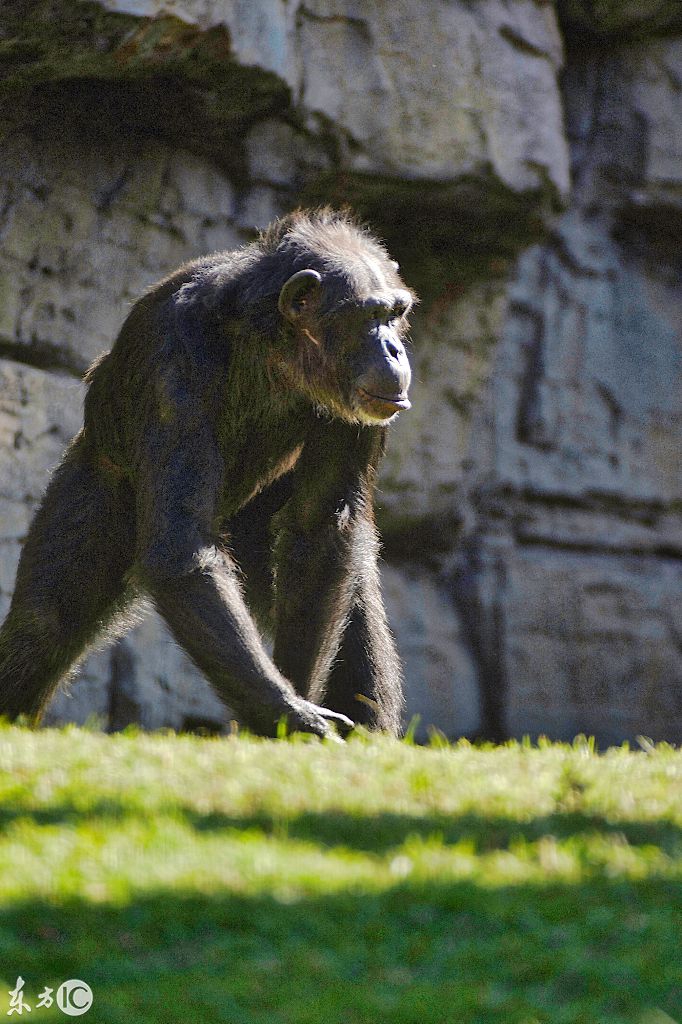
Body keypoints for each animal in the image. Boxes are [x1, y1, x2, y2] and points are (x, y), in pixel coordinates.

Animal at [0, 207, 413, 737]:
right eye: (369, 316)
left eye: (394, 314)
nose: (394, 349)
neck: (272, 343)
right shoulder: (172, 360)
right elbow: (181, 549)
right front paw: (290, 712)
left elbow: (320, 529)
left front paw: (295, 707)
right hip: (103, 482)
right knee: (43, 623)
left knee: (346, 590)